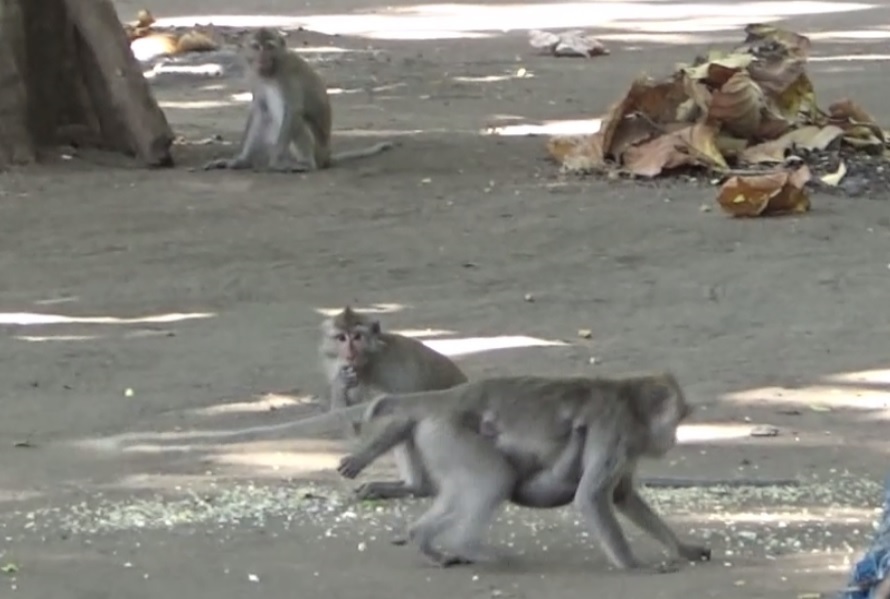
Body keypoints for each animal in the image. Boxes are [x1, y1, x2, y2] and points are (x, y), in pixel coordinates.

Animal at [205, 28, 396, 173]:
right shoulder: (255, 76)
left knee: (299, 122)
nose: (262, 58)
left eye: (269, 47)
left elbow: (293, 110)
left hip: (318, 150)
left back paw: (306, 164)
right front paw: (240, 160)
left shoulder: (288, 74)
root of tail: (327, 156)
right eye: (256, 47)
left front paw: (276, 161)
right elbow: (260, 111)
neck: (271, 72)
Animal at [318, 304, 468, 502]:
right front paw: (340, 383)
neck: (369, 364)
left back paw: (417, 488)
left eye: (357, 337)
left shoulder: (395, 371)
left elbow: (406, 415)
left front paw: (360, 458)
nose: (350, 353)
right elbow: (353, 428)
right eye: (341, 338)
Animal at [336, 376, 712, 572]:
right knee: (495, 478)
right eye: (677, 419)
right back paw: (466, 544)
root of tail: (452, 397)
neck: (631, 404)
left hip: (439, 437)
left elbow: (622, 496)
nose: (675, 439)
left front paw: (682, 548)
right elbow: (591, 497)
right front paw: (635, 564)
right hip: (452, 434)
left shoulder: (628, 443)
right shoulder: (616, 430)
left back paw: (424, 539)